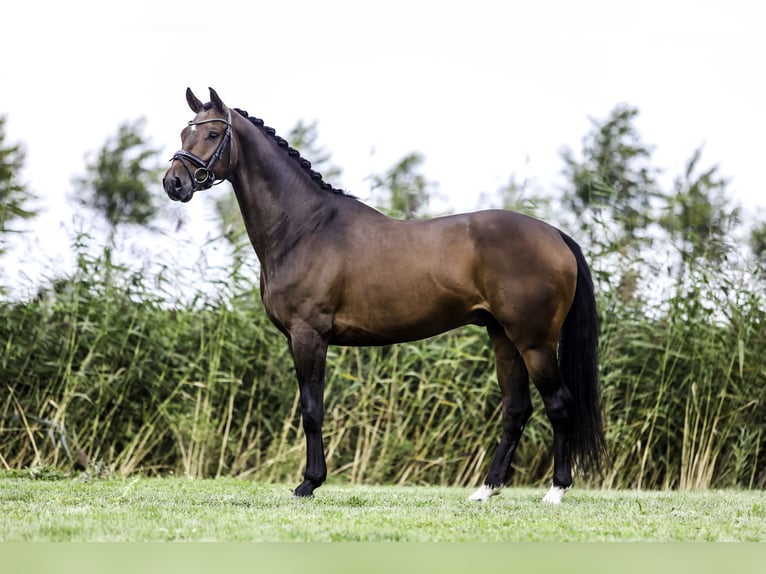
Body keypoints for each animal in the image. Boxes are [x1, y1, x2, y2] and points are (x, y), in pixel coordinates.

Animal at [163, 87, 607, 504]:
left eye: (214, 133)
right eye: (185, 132)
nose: (174, 183)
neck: (305, 227)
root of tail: (555, 234)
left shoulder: (309, 335)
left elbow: (312, 410)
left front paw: (309, 483)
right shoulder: (299, 338)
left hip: (534, 342)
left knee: (559, 405)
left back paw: (556, 491)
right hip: (503, 337)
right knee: (516, 410)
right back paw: (487, 489)